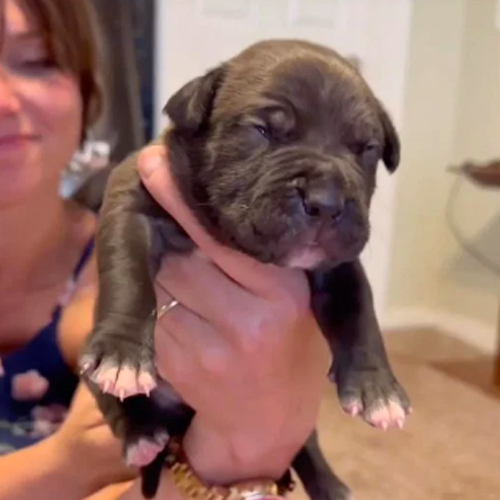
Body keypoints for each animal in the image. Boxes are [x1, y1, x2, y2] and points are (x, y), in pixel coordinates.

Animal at [81, 40, 410, 500]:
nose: (326, 200)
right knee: (121, 408)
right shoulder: (132, 204)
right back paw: (141, 435)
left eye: (365, 149)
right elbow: (129, 275)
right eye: (263, 131)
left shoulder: (340, 263)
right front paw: (123, 354)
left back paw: (331, 486)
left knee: (305, 443)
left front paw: (376, 387)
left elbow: (358, 312)